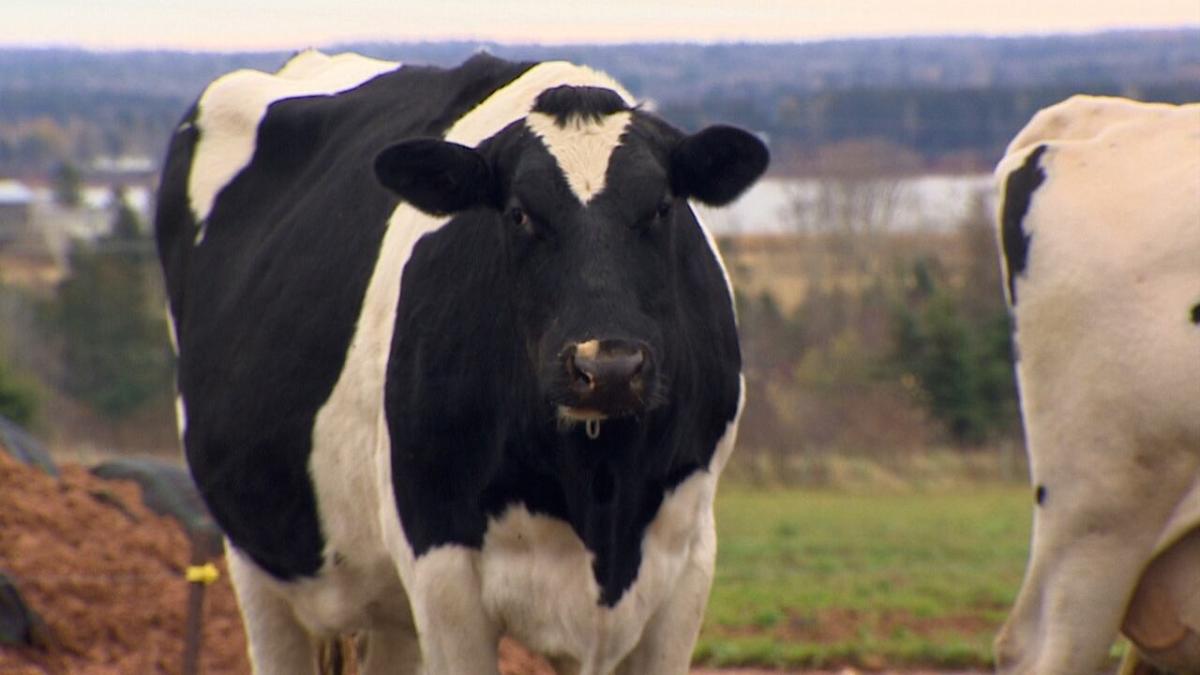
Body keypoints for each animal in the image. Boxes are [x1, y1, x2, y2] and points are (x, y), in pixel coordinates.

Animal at [154, 51, 768, 672]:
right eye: (519, 214)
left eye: (662, 207)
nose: (609, 369)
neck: (598, 482)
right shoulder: (441, 564)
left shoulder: (686, 565)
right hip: (257, 558)